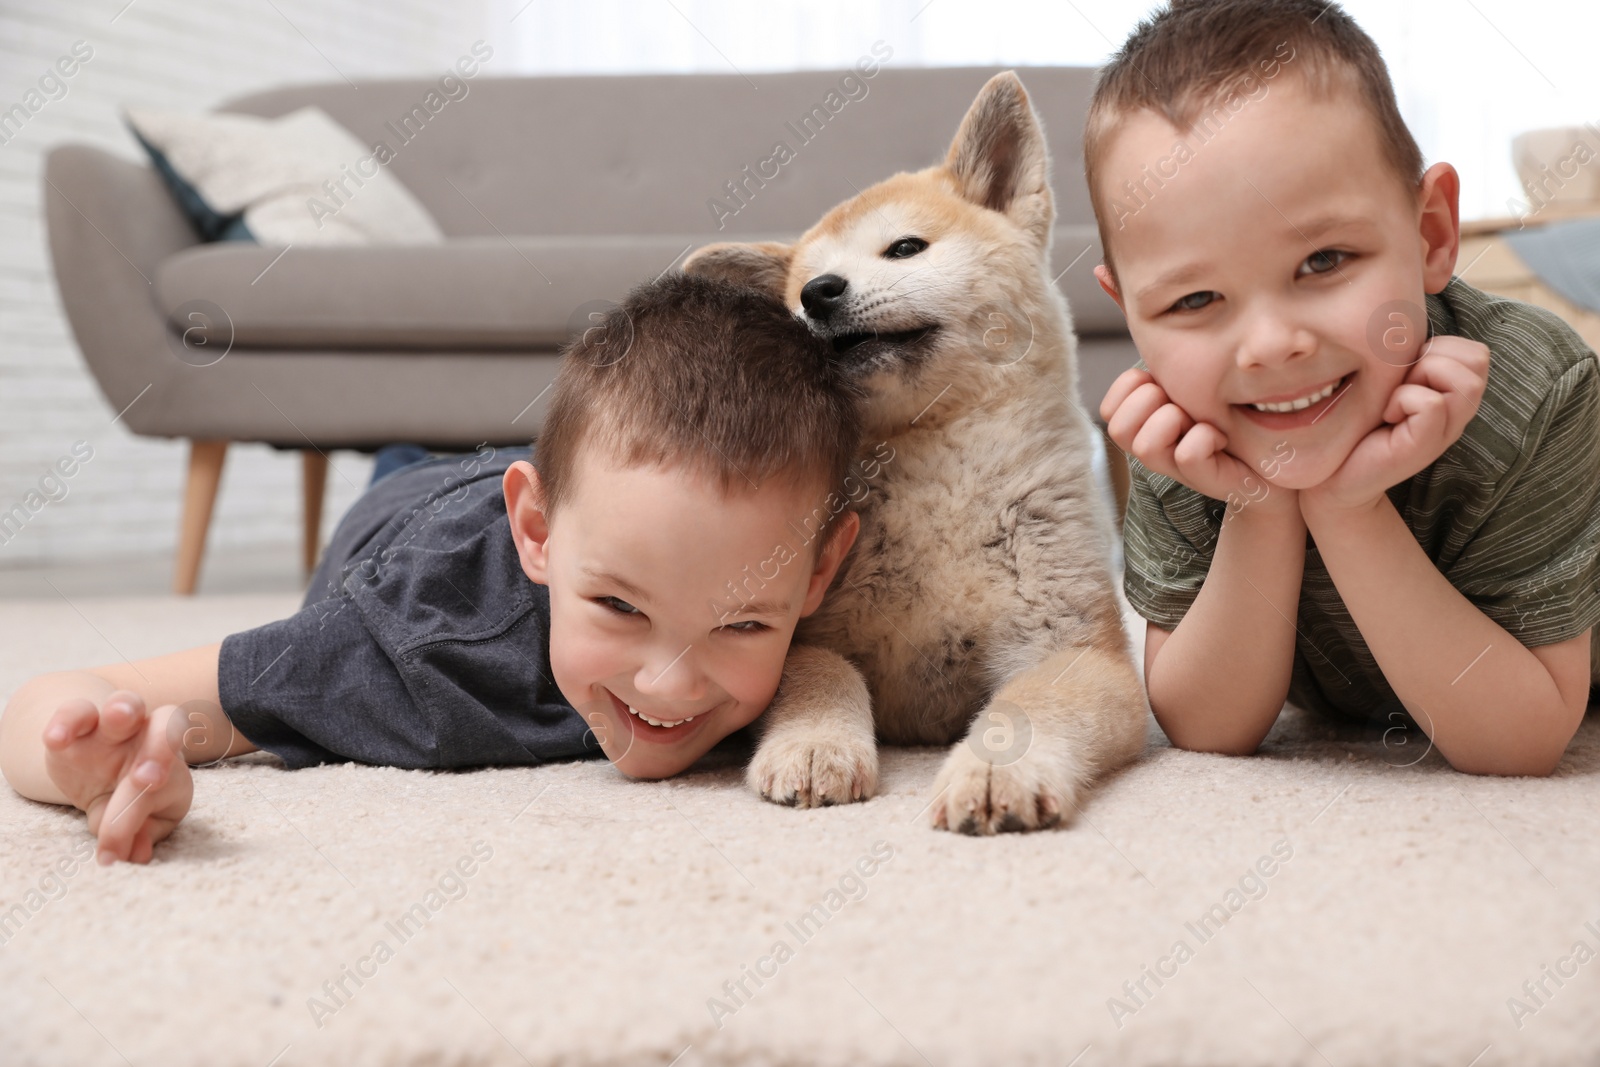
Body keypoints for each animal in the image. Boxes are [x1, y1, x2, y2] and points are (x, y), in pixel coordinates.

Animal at [681, 70, 1145, 831]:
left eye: (904, 249)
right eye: (798, 293)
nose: (818, 295)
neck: (939, 466)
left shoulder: (1074, 646)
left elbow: (1027, 706)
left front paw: (995, 770)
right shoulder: (803, 634)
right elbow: (824, 676)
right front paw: (816, 745)